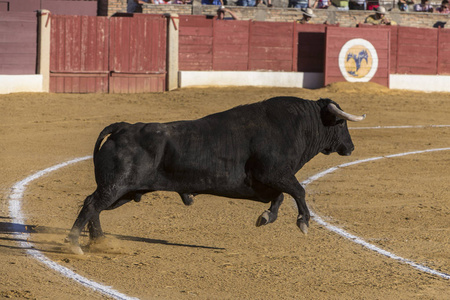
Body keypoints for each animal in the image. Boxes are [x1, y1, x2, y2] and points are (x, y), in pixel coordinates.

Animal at [67, 96, 366, 253]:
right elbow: (299, 191)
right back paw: (75, 245)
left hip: (127, 191)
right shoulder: (275, 173)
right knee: (92, 204)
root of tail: (122, 127)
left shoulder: (272, 181)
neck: (298, 125)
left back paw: (99, 242)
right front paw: (303, 222)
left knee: (94, 207)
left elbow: (281, 197)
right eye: (341, 124)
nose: (350, 147)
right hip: (117, 186)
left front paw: (265, 217)